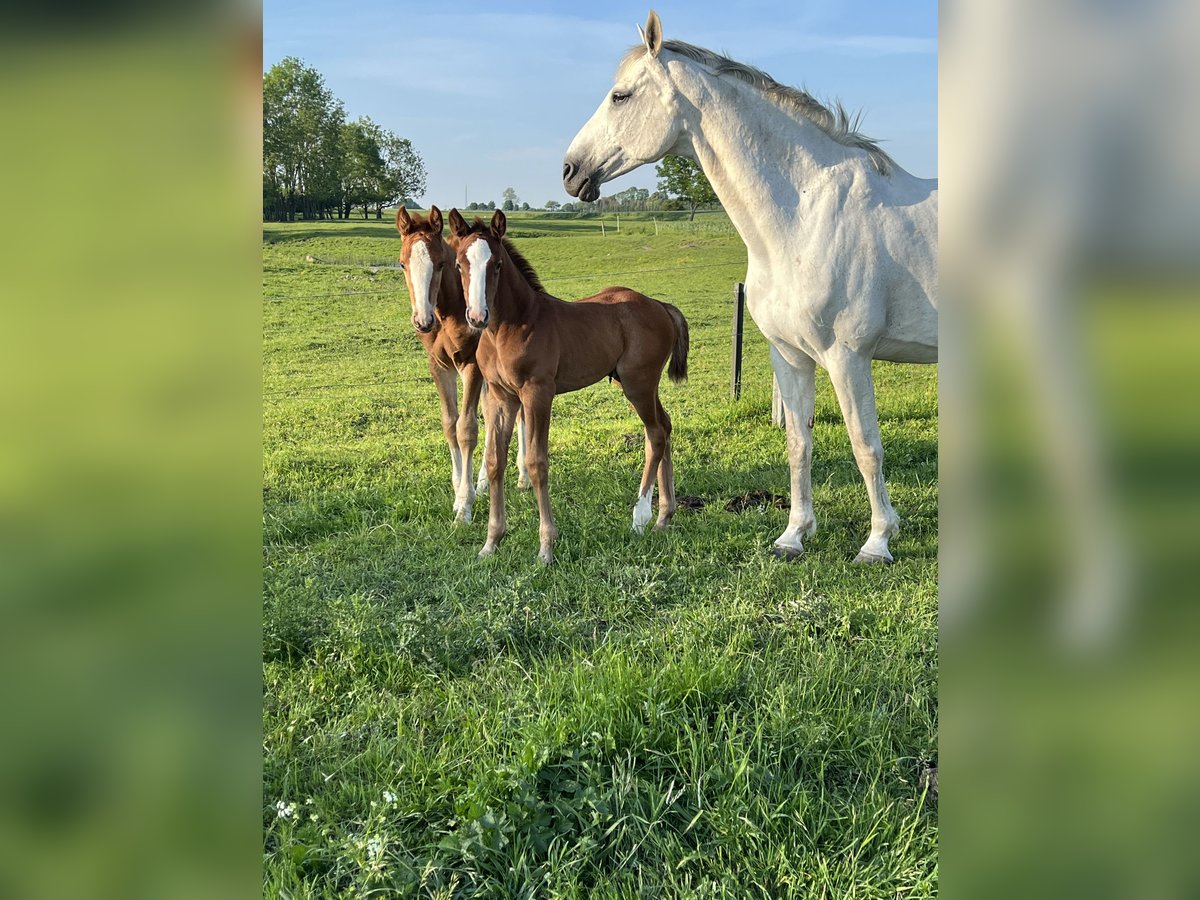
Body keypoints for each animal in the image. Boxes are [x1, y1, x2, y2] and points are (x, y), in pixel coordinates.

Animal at [396, 204, 528, 520]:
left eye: (441, 264)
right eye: (402, 264)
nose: (423, 321)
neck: (448, 310)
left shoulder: (471, 365)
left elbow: (466, 428)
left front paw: (464, 506)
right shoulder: (440, 366)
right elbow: (449, 423)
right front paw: (459, 489)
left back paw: (522, 477)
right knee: (492, 414)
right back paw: (483, 481)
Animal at [448, 208, 696, 566]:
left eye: (497, 264)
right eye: (459, 265)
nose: (477, 316)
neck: (509, 328)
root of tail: (659, 304)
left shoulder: (538, 393)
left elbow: (537, 463)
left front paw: (546, 548)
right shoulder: (501, 397)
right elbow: (495, 461)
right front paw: (491, 542)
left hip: (638, 382)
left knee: (656, 434)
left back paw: (641, 517)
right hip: (641, 384)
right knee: (665, 424)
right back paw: (665, 515)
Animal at [561, 10, 936, 564]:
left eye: (621, 96)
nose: (570, 171)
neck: (805, 214)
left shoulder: (848, 357)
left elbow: (866, 446)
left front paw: (877, 542)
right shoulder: (791, 355)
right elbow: (799, 445)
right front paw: (793, 535)